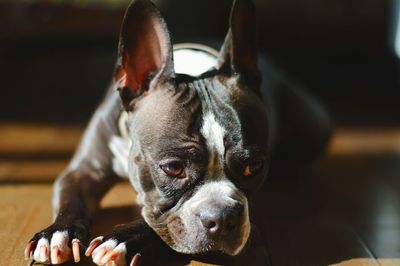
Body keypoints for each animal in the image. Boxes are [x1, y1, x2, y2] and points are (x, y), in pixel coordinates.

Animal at [24, 0, 332, 264]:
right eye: (172, 168)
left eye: (253, 167)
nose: (222, 217)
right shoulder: (83, 170)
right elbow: (70, 198)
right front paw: (57, 233)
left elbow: (159, 220)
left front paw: (123, 240)